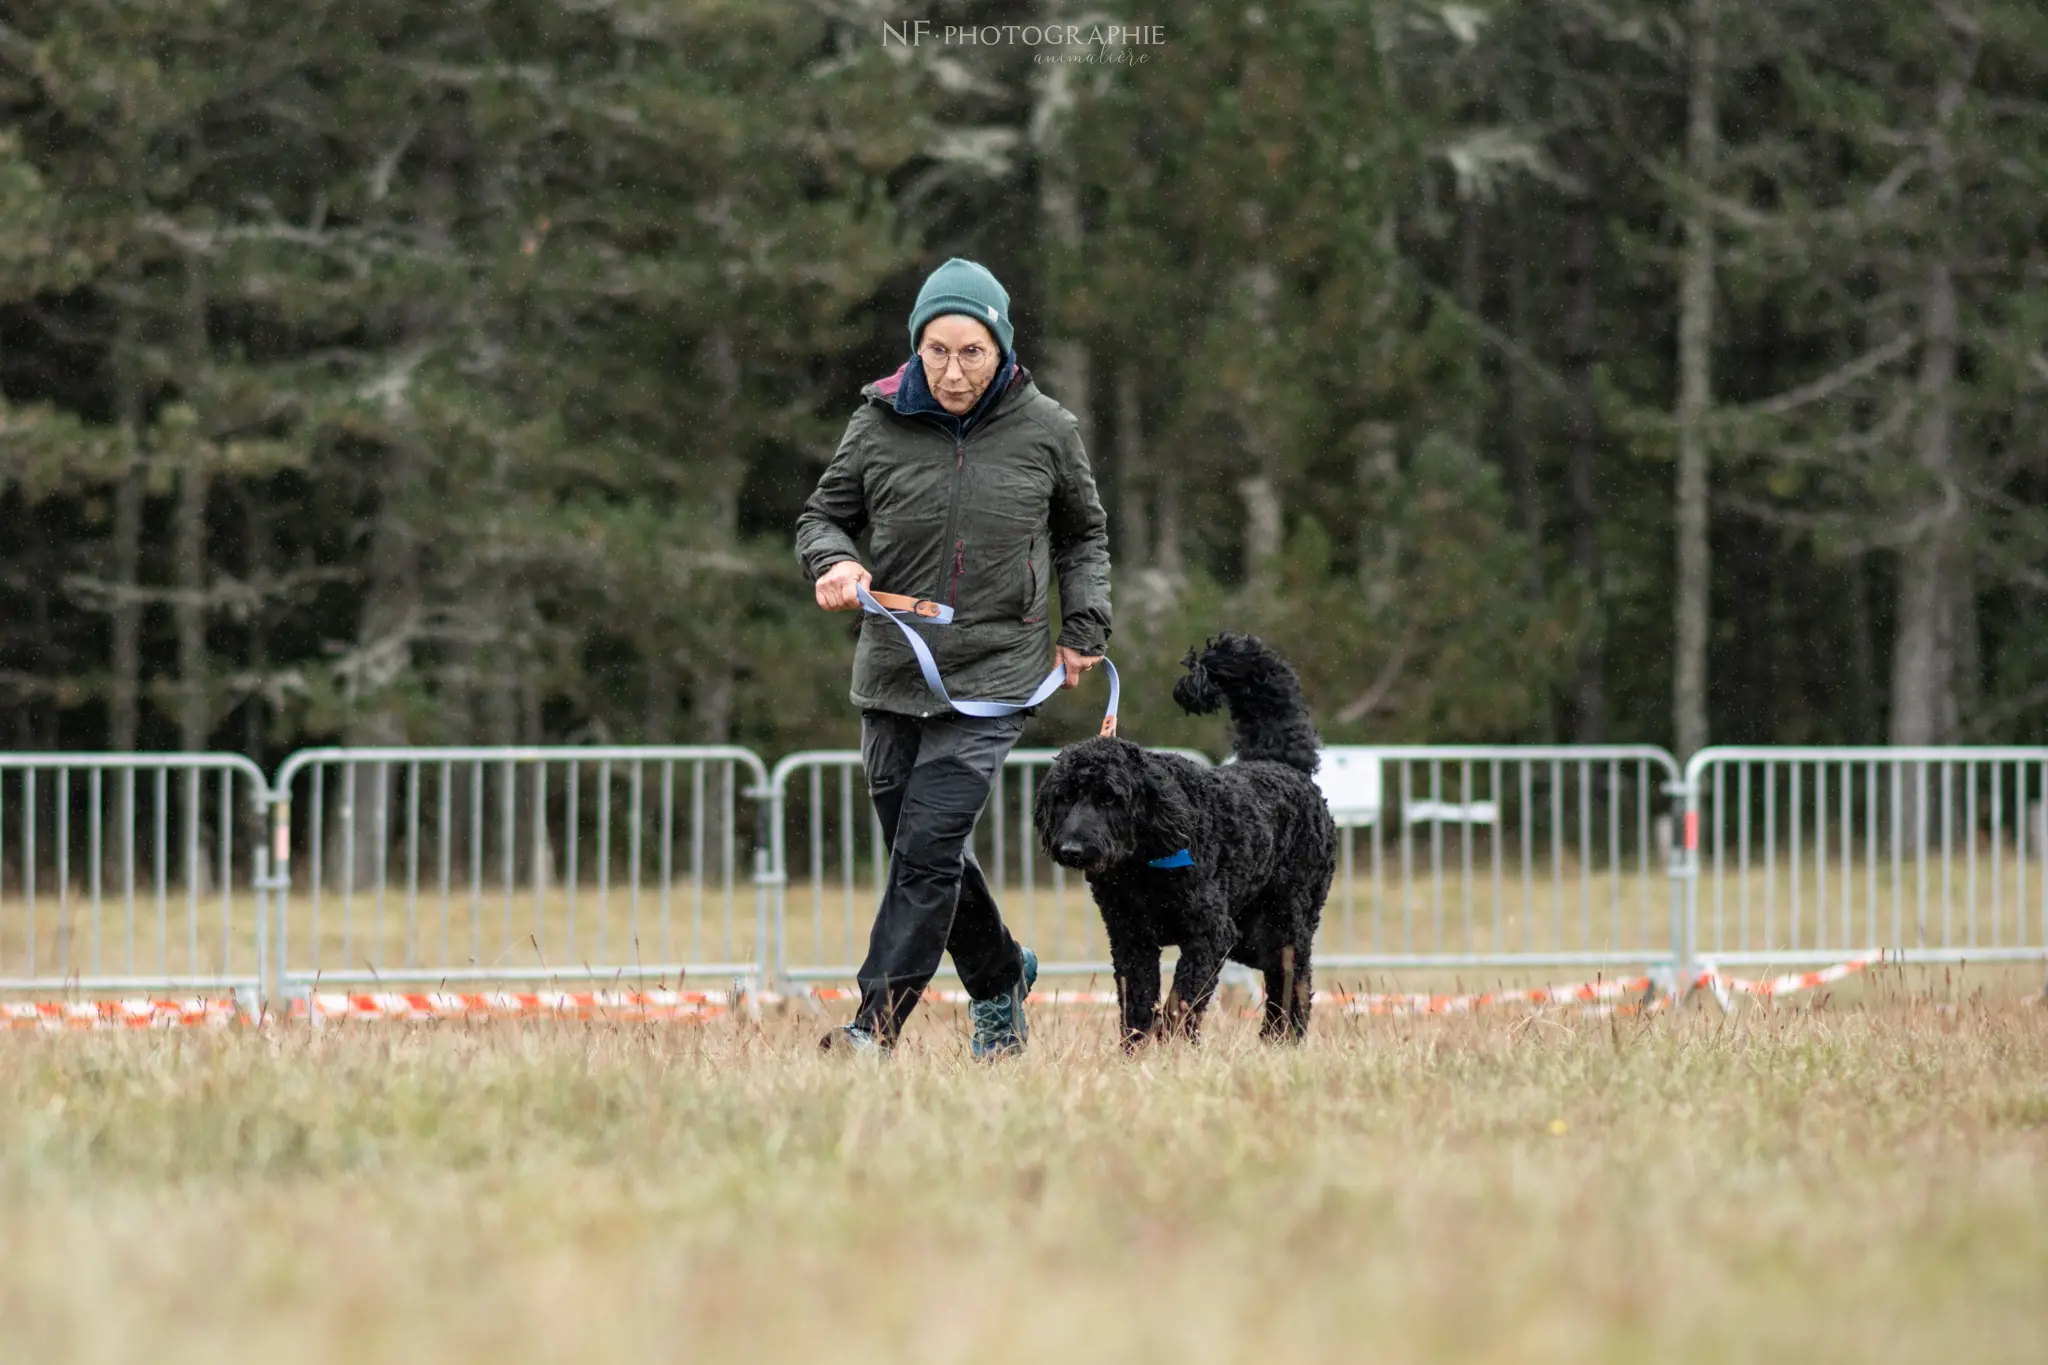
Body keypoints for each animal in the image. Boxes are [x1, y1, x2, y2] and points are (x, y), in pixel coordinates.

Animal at [1032, 634, 1335, 1047]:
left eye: (1109, 798)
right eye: (1064, 797)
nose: (1072, 850)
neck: (1140, 866)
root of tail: (1282, 764)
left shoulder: (1209, 934)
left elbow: (1182, 998)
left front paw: (1173, 1043)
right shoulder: (1131, 938)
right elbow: (1137, 1002)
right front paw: (1137, 1050)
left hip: (1283, 924)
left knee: (1292, 981)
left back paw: (1283, 1038)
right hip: (1252, 935)